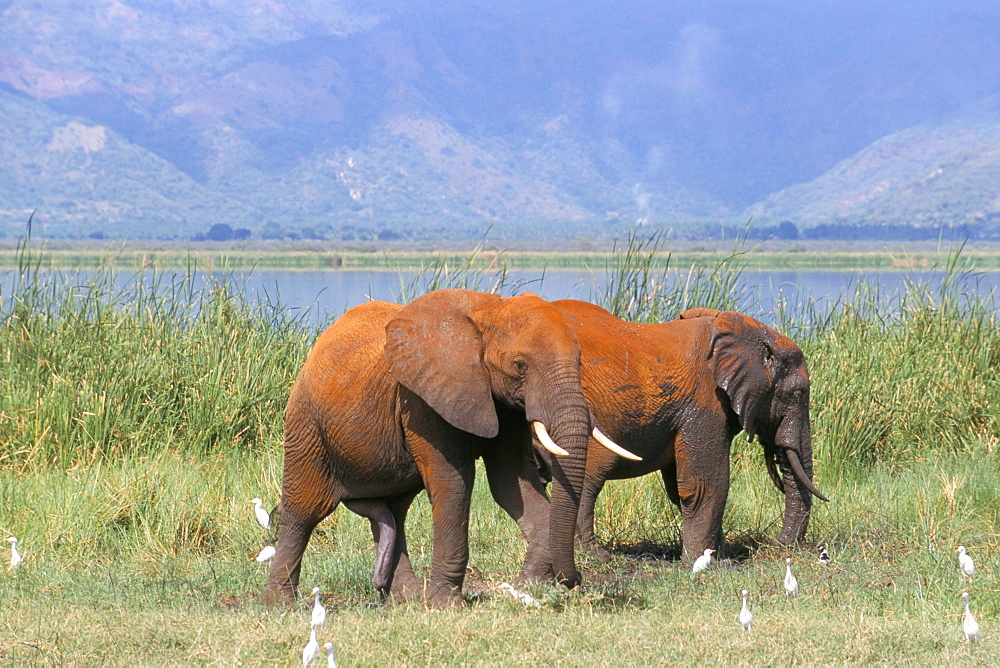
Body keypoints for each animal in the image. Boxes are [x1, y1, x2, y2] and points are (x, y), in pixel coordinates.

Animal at [540, 304, 828, 564]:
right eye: (799, 393)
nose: (776, 545)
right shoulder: (705, 400)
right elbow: (705, 484)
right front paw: (706, 563)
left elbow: (678, 486)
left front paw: (719, 555)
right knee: (593, 472)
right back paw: (595, 556)